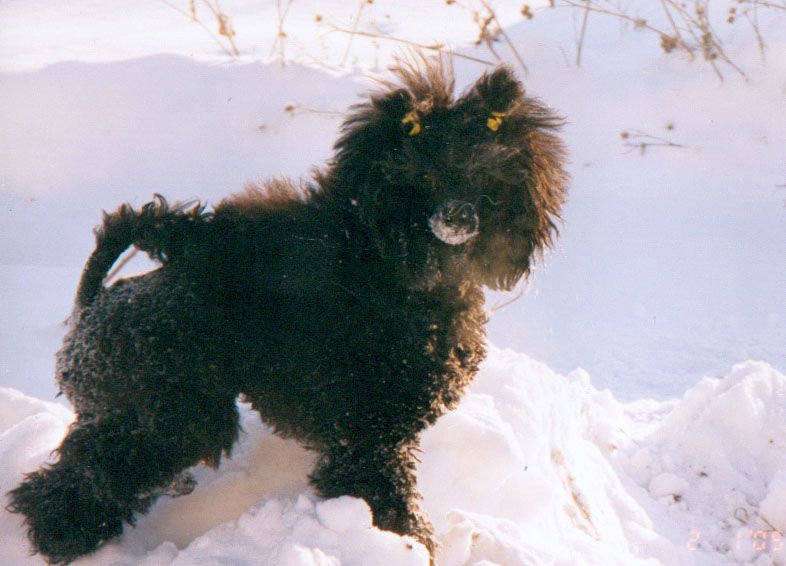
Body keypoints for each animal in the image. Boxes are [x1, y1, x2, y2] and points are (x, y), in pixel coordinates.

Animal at [7, 58, 567, 564]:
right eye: (422, 177)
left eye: (487, 178)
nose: (458, 217)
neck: (395, 270)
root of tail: (93, 303)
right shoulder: (369, 433)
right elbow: (386, 496)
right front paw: (407, 545)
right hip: (167, 411)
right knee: (82, 478)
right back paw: (61, 538)